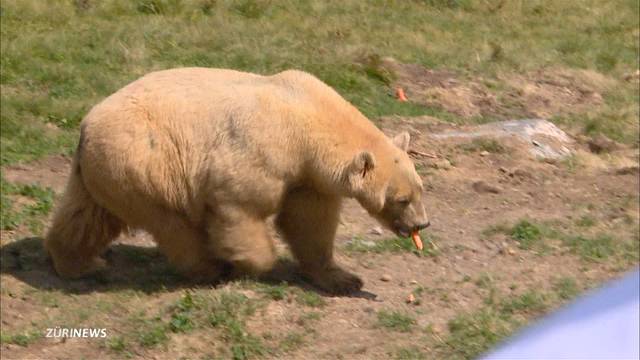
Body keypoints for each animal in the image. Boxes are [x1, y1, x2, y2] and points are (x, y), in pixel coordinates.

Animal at [45, 68, 430, 296]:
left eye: (420, 189)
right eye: (401, 199)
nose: (422, 224)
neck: (306, 117)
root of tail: (85, 127)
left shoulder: (308, 178)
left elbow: (310, 223)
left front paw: (343, 279)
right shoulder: (265, 151)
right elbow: (241, 206)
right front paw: (251, 263)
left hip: (103, 172)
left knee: (86, 215)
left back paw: (78, 264)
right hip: (144, 165)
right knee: (172, 224)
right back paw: (211, 268)